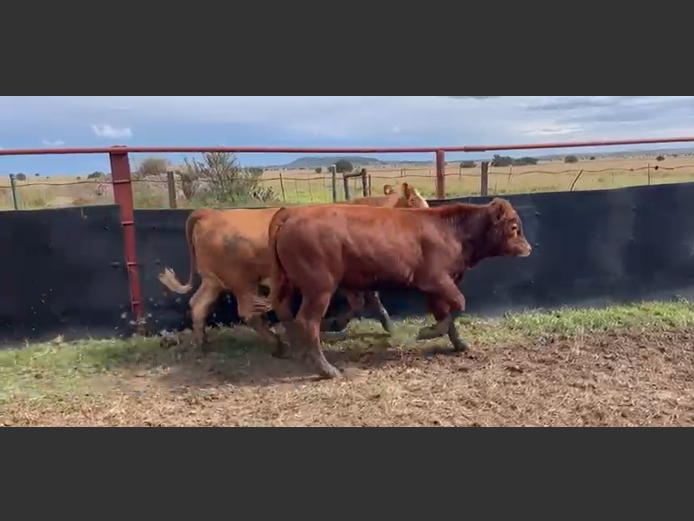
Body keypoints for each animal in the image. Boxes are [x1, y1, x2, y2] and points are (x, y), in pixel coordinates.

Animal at [157, 183, 429, 356]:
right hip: (241, 281)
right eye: (414, 200)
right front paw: (334, 324)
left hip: (213, 280)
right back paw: (278, 344)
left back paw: (202, 343)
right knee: (248, 312)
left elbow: (370, 302)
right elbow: (361, 303)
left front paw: (386, 325)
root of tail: (208, 214)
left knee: (198, 305)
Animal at [267, 198, 533, 379]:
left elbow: (446, 313)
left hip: (287, 282)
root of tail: (292, 213)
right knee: (307, 321)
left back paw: (294, 348)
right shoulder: (435, 280)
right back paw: (326, 369)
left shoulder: (437, 288)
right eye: (513, 227)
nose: (528, 249)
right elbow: (458, 304)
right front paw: (427, 332)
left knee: (284, 310)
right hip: (319, 288)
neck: (452, 231)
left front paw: (458, 344)